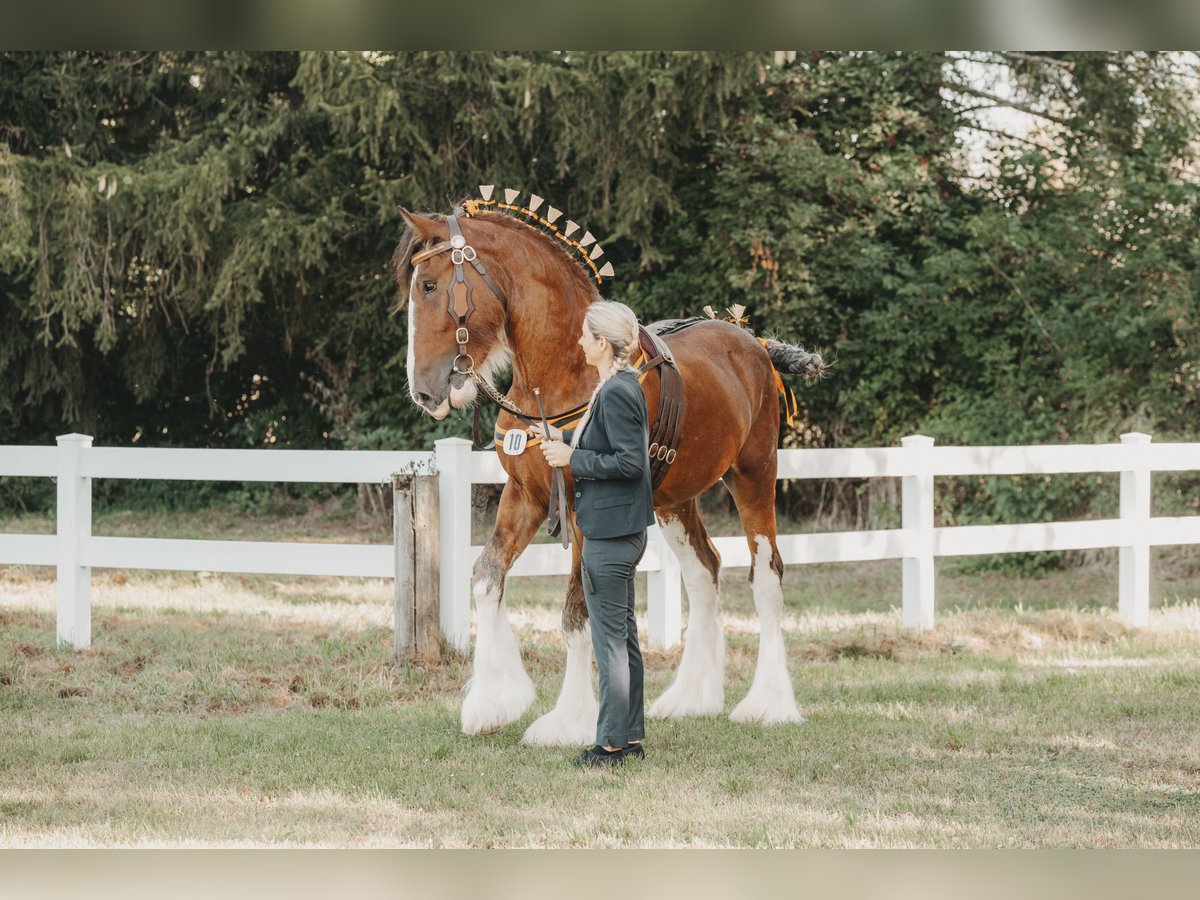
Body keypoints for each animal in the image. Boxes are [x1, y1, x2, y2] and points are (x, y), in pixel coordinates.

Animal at [398, 199, 820, 748]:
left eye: (429, 286)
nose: (423, 391)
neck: (562, 374)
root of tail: (753, 342)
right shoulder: (526, 496)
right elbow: (487, 578)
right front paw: (491, 703)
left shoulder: (581, 515)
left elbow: (576, 614)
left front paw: (567, 721)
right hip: (674, 500)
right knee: (703, 572)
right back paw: (692, 697)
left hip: (754, 474)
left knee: (766, 576)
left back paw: (768, 704)